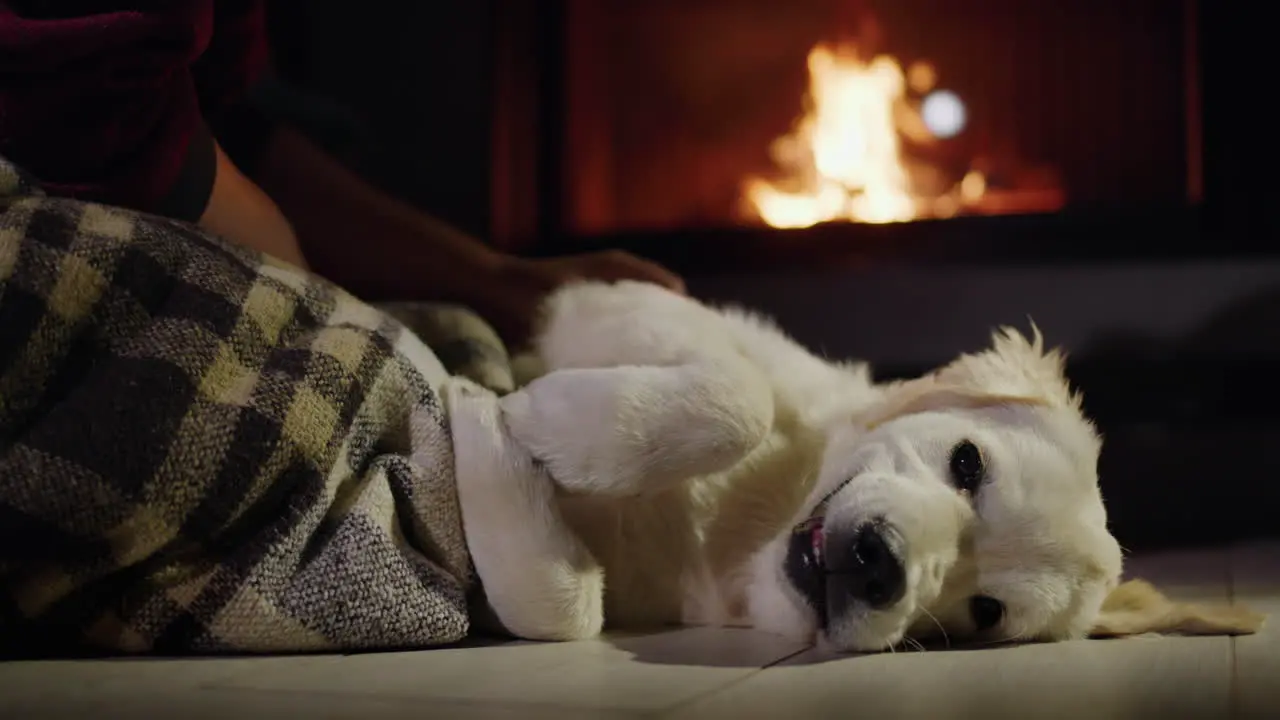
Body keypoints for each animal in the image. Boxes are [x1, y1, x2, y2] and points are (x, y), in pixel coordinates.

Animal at [440, 278, 1259, 648]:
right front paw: (526, 415)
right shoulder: (619, 305)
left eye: (985, 612)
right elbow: (742, 399)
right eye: (968, 464)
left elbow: (564, 611)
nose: (876, 563)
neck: (744, 536)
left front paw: (484, 425)